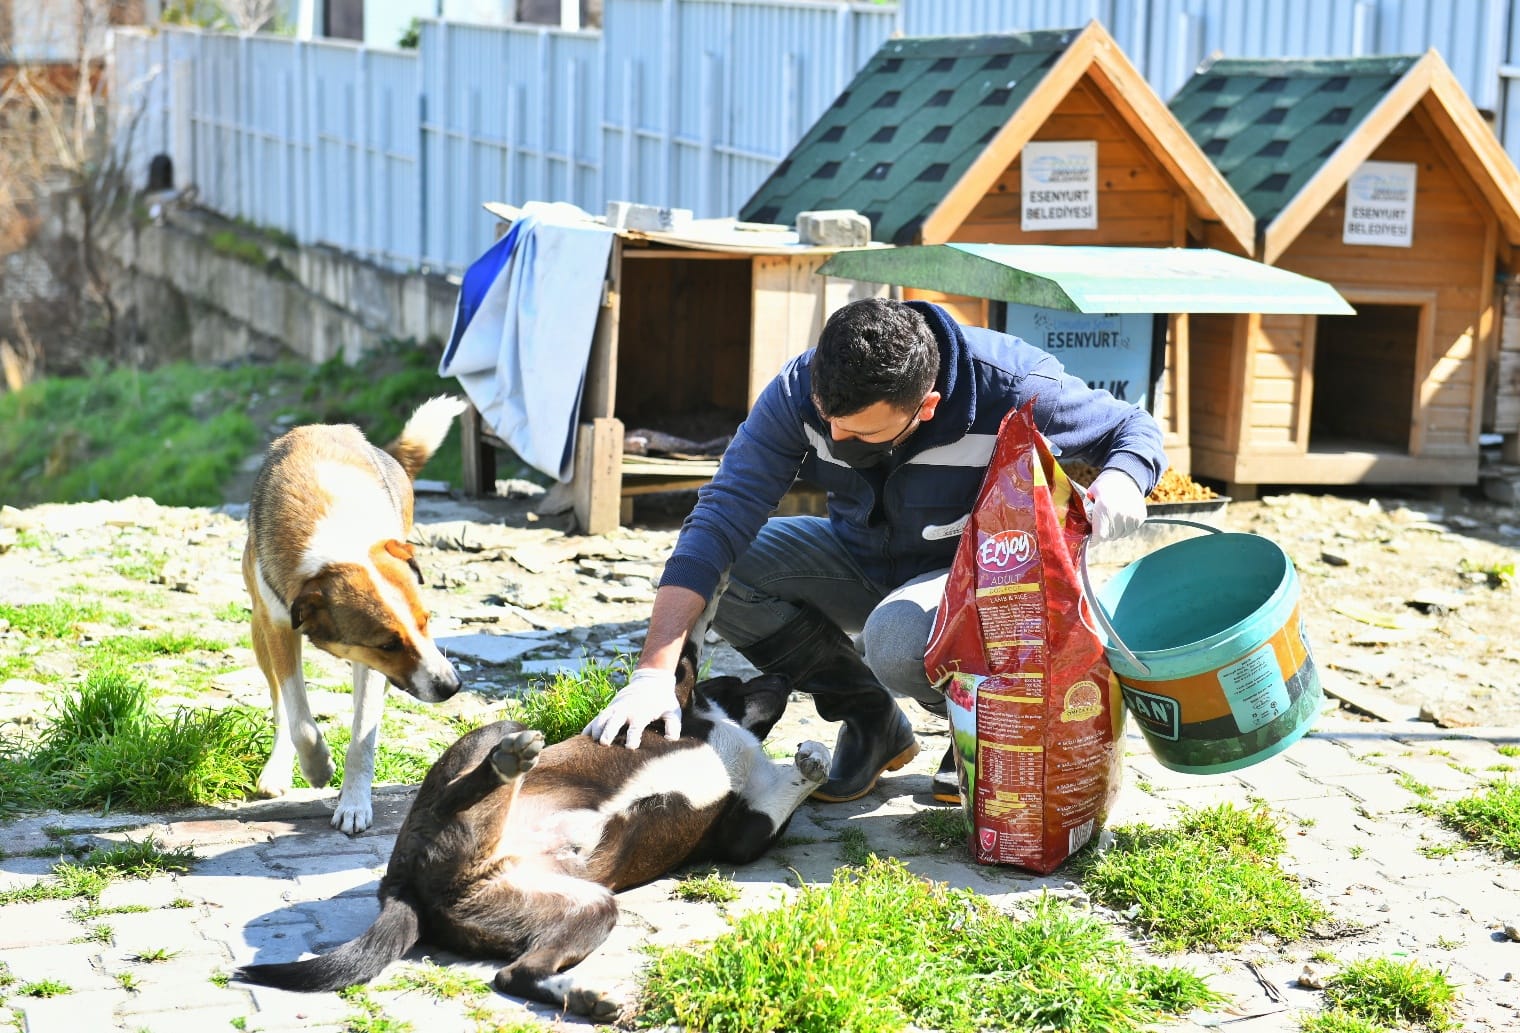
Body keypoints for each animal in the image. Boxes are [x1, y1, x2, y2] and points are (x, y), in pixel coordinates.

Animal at [237, 641, 832, 1020]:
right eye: (737, 679)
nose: (787, 676)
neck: (729, 735)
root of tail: (402, 888)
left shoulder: (745, 832)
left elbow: (788, 788)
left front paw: (816, 758)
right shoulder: (681, 713)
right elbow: (679, 671)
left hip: (586, 906)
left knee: (514, 975)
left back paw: (582, 995)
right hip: (497, 736)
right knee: (463, 787)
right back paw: (507, 763)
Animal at [243, 394, 465, 832]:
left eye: (426, 622)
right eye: (388, 644)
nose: (451, 686)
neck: (337, 540)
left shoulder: (369, 664)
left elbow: (363, 734)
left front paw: (355, 804)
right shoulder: (280, 626)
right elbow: (299, 717)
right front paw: (317, 768)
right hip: (258, 628)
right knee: (280, 706)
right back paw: (279, 769)